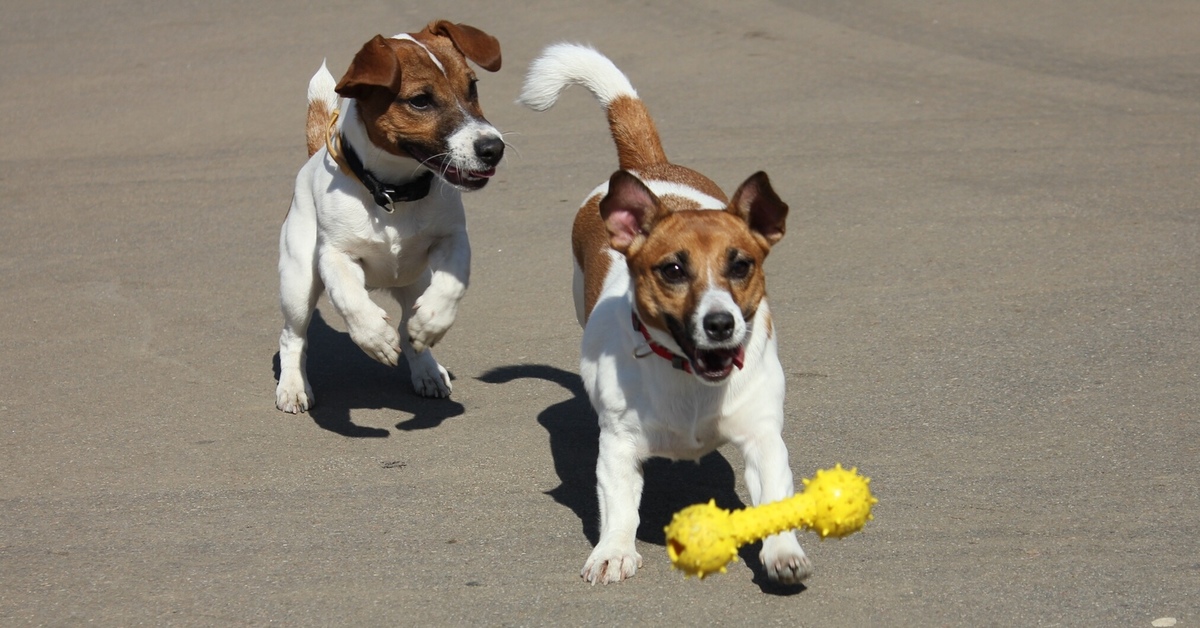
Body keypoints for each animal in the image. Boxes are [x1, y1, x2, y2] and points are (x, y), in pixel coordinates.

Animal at [277, 20, 506, 413]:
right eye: (420, 100)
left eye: (472, 87)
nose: (494, 149)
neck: (393, 193)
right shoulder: (334, 255)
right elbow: (351, 298)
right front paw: (374, 337)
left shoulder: (452, 239)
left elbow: (451, 285)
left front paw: (432, 321)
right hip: (298, 282)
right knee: (293, 336)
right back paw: (292, 386)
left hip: (414, 280)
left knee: (408, 326)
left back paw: (427, 367)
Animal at [520, 42, 811, 585]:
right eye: (673, 270)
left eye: (741, 265)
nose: (720, 324)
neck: (690, 380)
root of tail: (652, 168)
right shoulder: (618, 448)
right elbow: (619, 507)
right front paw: (614, 550)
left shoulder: (763, 437)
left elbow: (773, 496)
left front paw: (782, 551)